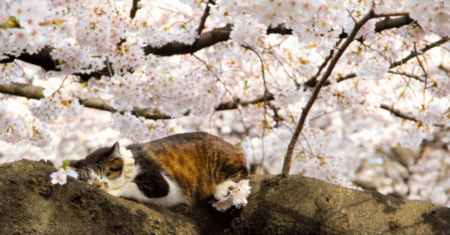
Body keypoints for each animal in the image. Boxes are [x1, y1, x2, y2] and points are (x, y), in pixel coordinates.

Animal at [69, 132, 250, 207]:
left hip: (216, 158)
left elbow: (131, 186)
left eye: (105, 173)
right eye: (88, 179)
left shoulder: (160, 182)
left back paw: (222, 189)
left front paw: (112, 191)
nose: (97, 184)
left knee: (242, 172)